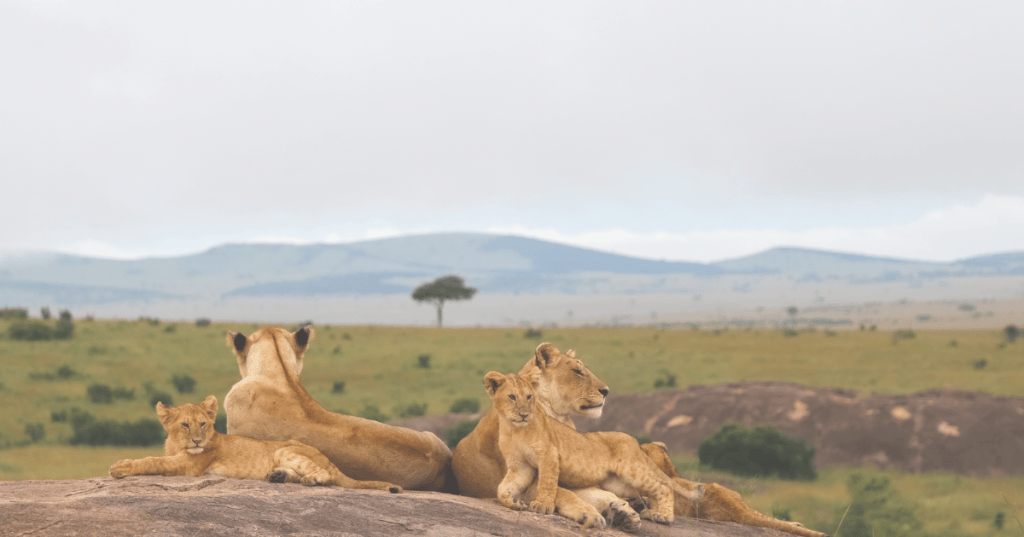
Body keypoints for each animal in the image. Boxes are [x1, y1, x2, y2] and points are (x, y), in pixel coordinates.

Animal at [109, 395, 402, 493]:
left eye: (203, 424)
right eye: (185, 425)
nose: (198, 440)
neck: (178, 446)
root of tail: (328, 457)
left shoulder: (190, 466)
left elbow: (152, 461)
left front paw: (120, 467)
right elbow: (155, 458)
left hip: (286, 449)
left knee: (325, 475)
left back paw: (311, 480)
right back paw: (277, 476)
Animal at [485, 371, 702, 525]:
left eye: (529, 396)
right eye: (512, 397)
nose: (524, 414)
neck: (514, 429)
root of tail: (633, 441)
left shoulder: (549, 455)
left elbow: (547, 483)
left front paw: (542, 506)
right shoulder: (520, 466)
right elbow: (503, 488)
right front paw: (513, 502)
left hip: (633, 471)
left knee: (664, 487)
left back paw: (663, 516)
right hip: (618, 483)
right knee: (647, 492)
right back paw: (650, 512)